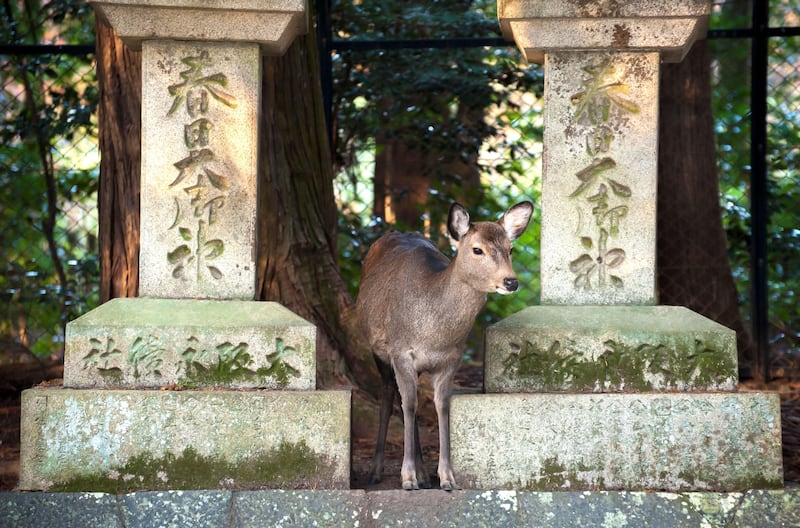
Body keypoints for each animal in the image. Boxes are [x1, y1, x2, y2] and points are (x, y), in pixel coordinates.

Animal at [354, 200, 532, 488]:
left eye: (511, 248)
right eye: (477, 249)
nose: (511, 281)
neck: (434, 335)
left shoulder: (452, 359)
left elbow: (441, 406)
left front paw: (446, 477)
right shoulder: (400, 351)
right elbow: (410, 404)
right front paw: (407, 478)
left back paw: (424, 474)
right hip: (377, 350)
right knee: (390, 396)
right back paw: (377, 471)